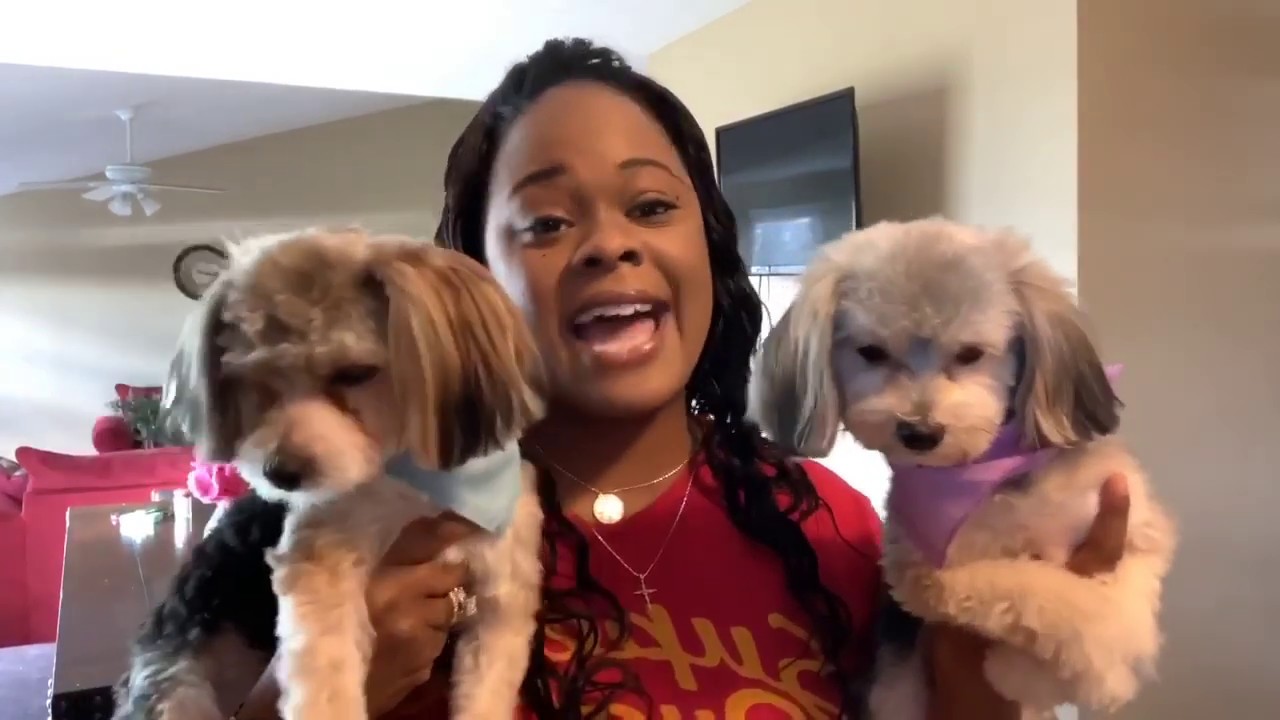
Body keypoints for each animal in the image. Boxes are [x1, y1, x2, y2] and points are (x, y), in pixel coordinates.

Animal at [112, 228, 546, 720]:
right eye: (255, 380)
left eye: (355, 373)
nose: (281, 474)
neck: (418, 483)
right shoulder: (324, 552)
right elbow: (325, 668)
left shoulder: (503, 596)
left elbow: (488, 684)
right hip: (181, 685)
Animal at [751, 218, 1176, 718]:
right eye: (871, 352)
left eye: (971, 353)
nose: (919, 432)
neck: (990, 471)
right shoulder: (926, 571)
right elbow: (1047, 595)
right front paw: (1043, 669)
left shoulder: (1137, 525)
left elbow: (1124, 605)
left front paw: (1081, 667)